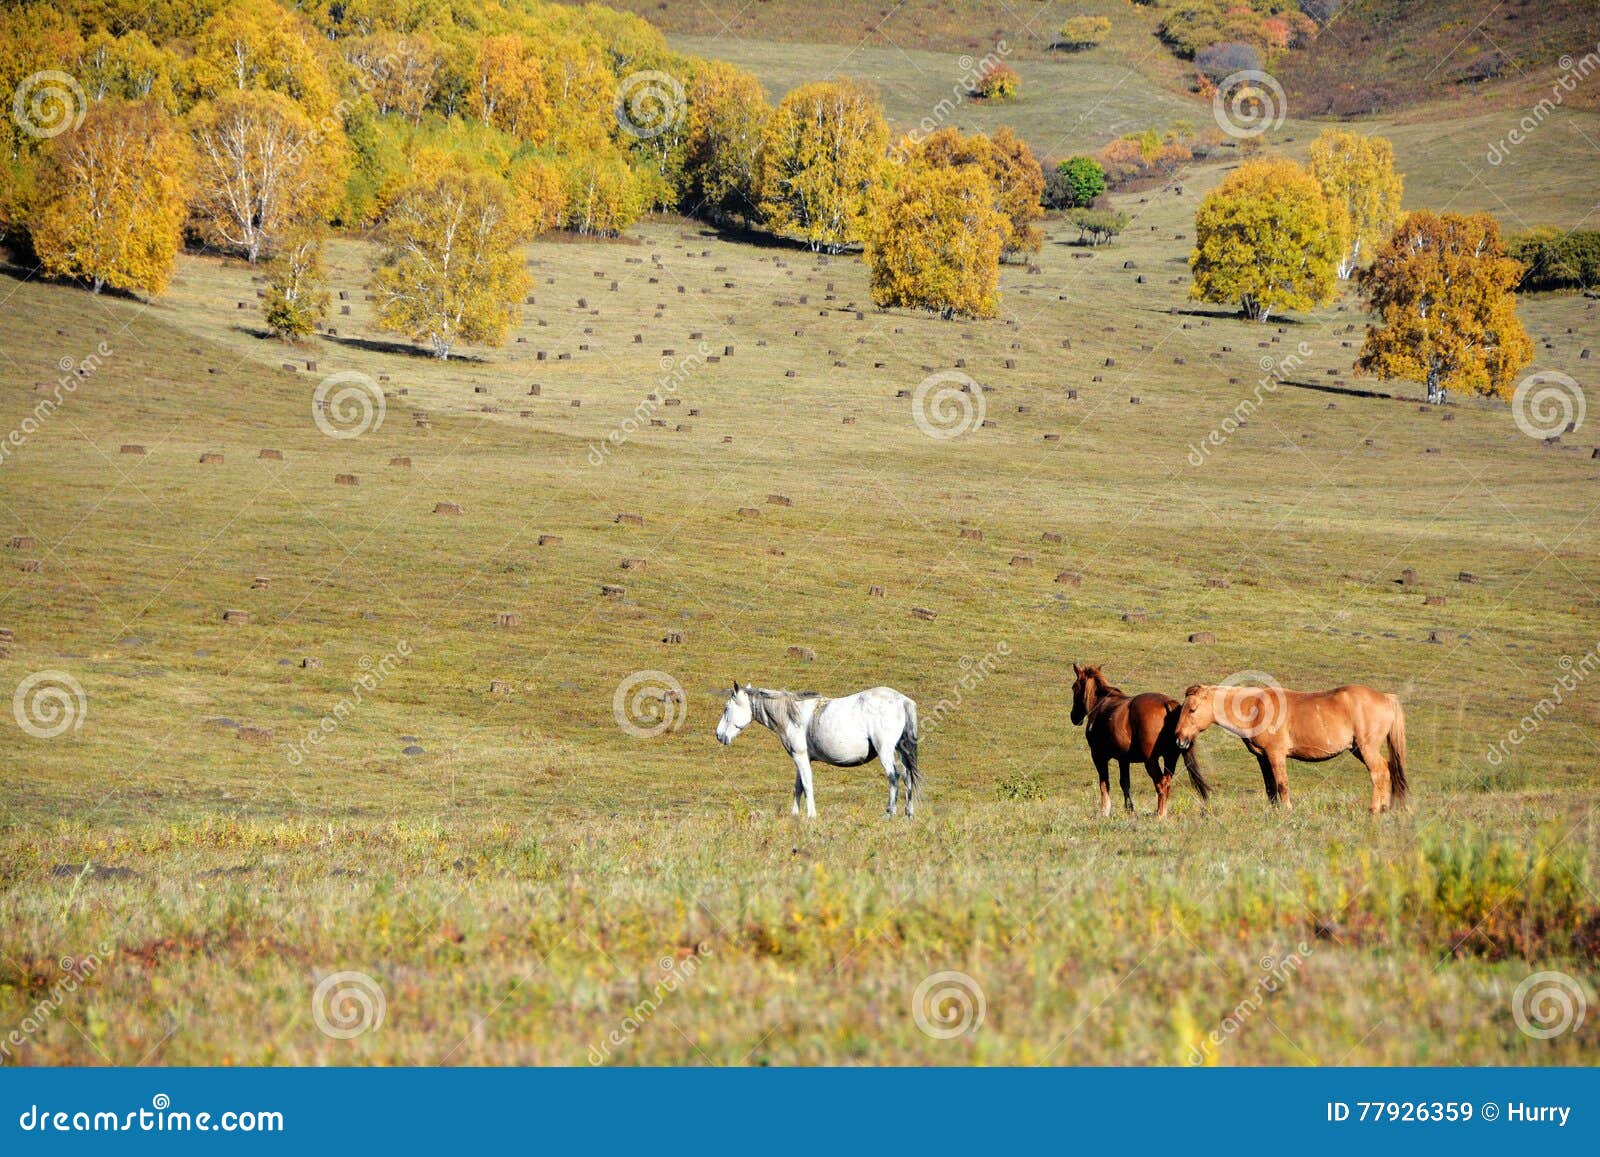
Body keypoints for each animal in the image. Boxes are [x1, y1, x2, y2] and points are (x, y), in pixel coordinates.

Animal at [715, 683, 919, 818]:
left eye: (726, 708)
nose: (718, 735)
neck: (792, 715)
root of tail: (902, 700)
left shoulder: (800, 757)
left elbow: (807, 784)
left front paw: (811, 816)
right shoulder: (802, 758)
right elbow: (798, 786)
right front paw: (795, 815)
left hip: (885, 751)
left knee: (894, 776)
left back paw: (890, 813)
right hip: (901, 751)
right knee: (907, 776)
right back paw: (908, 813)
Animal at [1070, 663, 1210, 818]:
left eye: (1074, 687)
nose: (1074, 717)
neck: (1101, 704)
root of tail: (1169, 704)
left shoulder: (1098, 756)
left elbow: (1104, 783)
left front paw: (1105, 811)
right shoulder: (1123, 759)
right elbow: (1125, 783)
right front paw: (1129, 810)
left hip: (1151, 761)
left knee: (1161, 784)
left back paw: (1160, 814)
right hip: (1170, 758)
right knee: (1167, 783)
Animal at [1174, 682, 1407, 813]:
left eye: (1192, 709)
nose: (1179, 740)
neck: (1257, 708)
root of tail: (1387, 698)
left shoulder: (1276, 755)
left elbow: (1282, 785)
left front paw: (1286, 810)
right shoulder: (1263, 757)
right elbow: (1270, 787)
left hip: (1366, 749)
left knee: (1378, 773)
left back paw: (1374, 809)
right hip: (1358, 749)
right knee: (1387, 770)